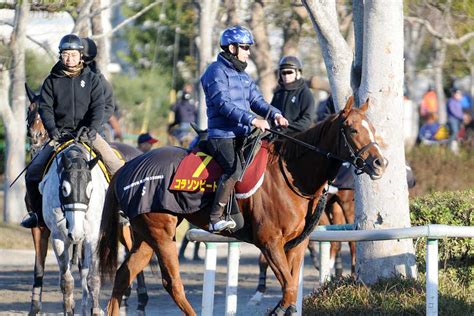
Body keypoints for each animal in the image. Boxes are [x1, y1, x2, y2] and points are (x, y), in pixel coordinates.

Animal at [97, 97, 388, 316]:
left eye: (373, 128)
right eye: (352, 129)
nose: (379, 163)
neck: (291, 173)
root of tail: (125, 168)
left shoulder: (296, 244)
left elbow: (292, 288)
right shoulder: (269, 242)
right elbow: (289, 290)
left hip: (145, 235)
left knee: (123, 275)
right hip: (161, 234)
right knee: (172, 284)